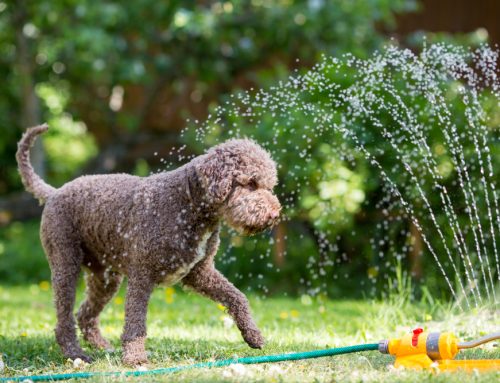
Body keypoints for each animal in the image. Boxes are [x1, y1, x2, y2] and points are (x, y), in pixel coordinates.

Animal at [16, 125, 282, 366]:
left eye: (269, 186)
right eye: (251, 183)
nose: (275, 214)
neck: (186, 204)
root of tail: (54, 192)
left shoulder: (199, 272)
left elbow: (237, 297)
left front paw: (253, 335)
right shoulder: (142, 275)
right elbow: (135, 324)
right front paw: (135, 358)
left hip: (106, 278)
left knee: (85, 314)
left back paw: (102, 346)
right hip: (66, 266)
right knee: (64, 320)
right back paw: (75, 354)